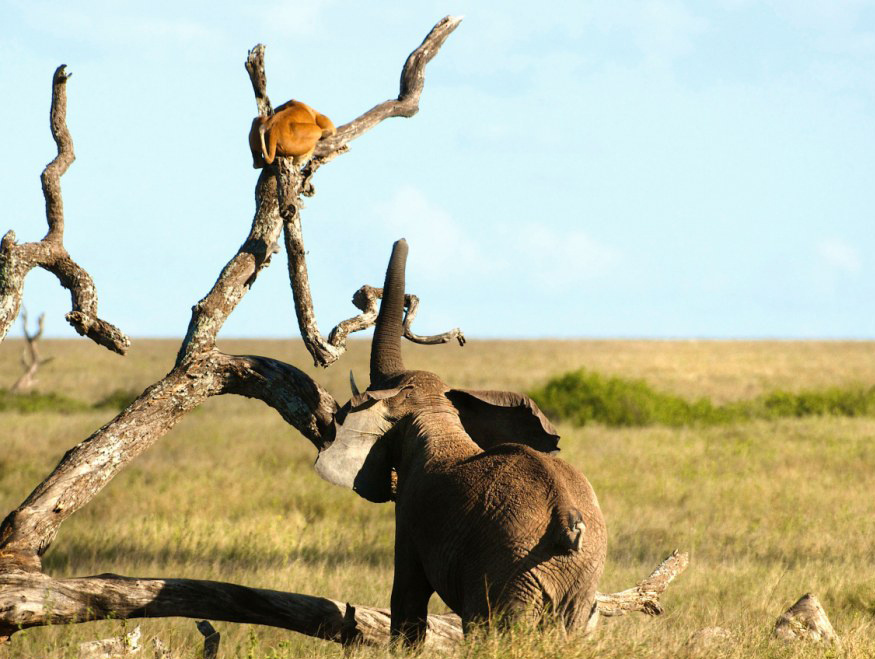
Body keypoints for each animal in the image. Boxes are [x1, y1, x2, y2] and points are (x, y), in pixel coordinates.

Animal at [314, 240, 608, 648]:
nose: (402, 241)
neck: (438, 419)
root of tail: (567, 520)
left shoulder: (410, 516)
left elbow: (407, 597)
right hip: (579, 574)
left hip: (510, 569)